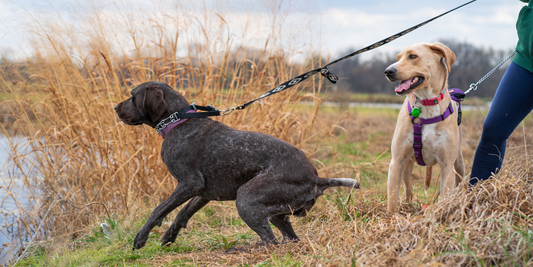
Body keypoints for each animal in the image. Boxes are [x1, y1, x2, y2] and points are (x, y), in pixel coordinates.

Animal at [114, 81, 360, 251]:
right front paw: (168, 237)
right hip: (276, 212)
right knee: (288, 239)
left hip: (246, 198)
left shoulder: (189, 184)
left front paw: (141, 238)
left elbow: (159, 210)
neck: (179, 123)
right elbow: (182, 213)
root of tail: (316, 179)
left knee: (270, 242)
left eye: (132, 96)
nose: (115, 107)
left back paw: (242, 249)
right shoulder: (203, 192)